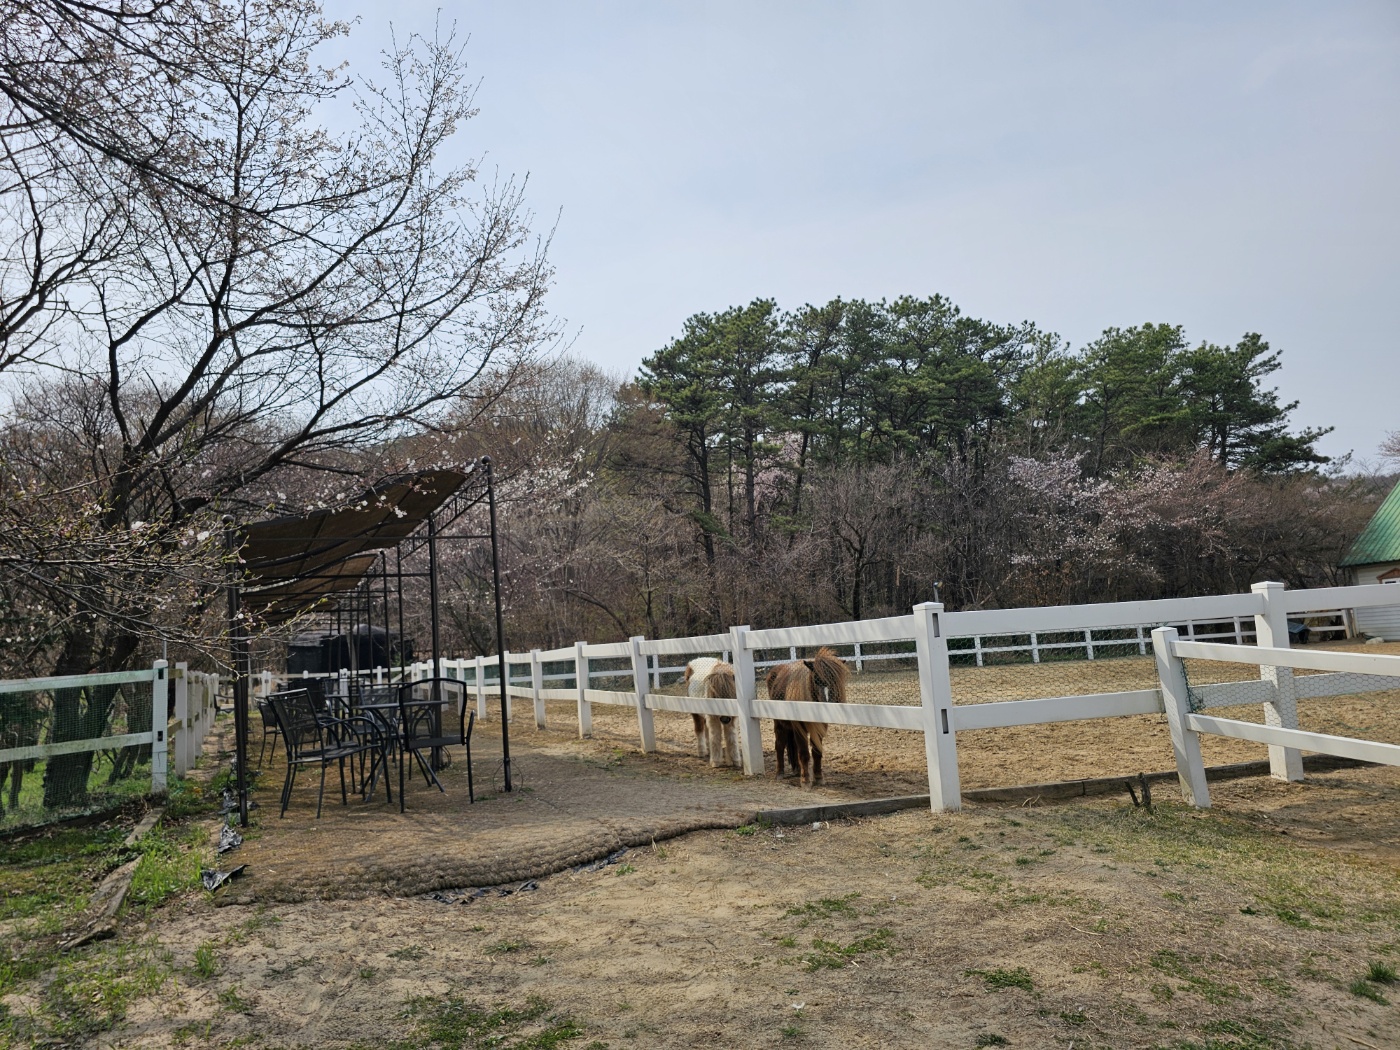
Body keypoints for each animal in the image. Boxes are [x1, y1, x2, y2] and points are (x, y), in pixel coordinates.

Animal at [761, 649, 845, 789]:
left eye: (835, 679)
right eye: (816, 680)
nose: (829, 704)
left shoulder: (819, 727)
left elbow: (817, 752)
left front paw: (818, 777)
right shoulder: (799, 726)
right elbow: (804, 753)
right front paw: (805, 780)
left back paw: (797, 770)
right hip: (779, 723)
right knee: (779, 745)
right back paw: (780, 773)